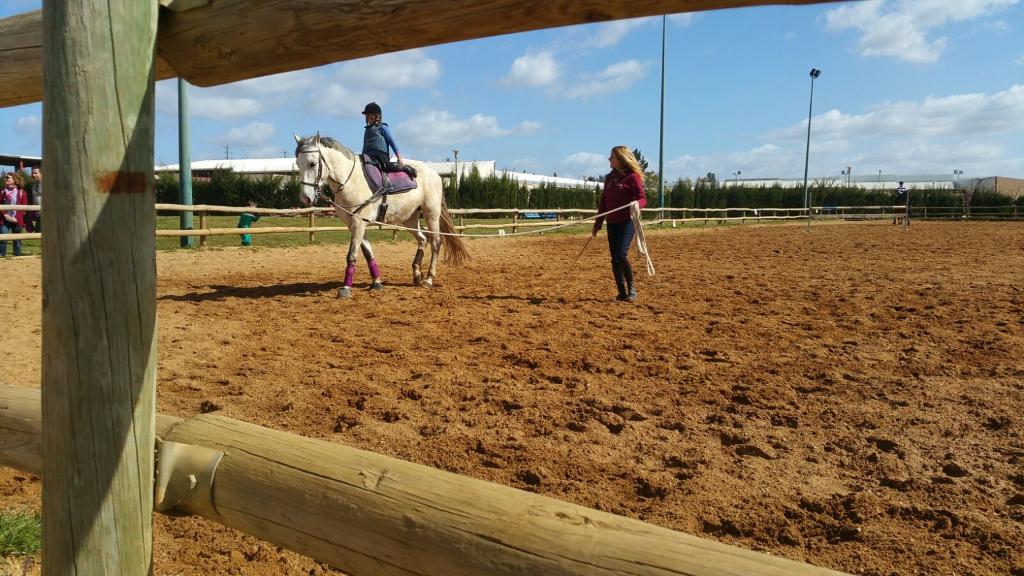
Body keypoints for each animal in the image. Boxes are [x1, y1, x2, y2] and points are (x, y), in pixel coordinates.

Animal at [294, 134, 469, 298]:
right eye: (298, 163)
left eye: (313, 163)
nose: (305, 198)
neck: (350, 181)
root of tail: (436, 175)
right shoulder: (355, 224)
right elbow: (367, 253)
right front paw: (377, 283)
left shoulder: (358, 223)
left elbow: (352, 255)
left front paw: (345, 288)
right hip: (409, 219)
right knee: (423, 239)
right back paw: (417, 274)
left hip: (431, 213)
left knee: (436, 242)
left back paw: (428, 279)